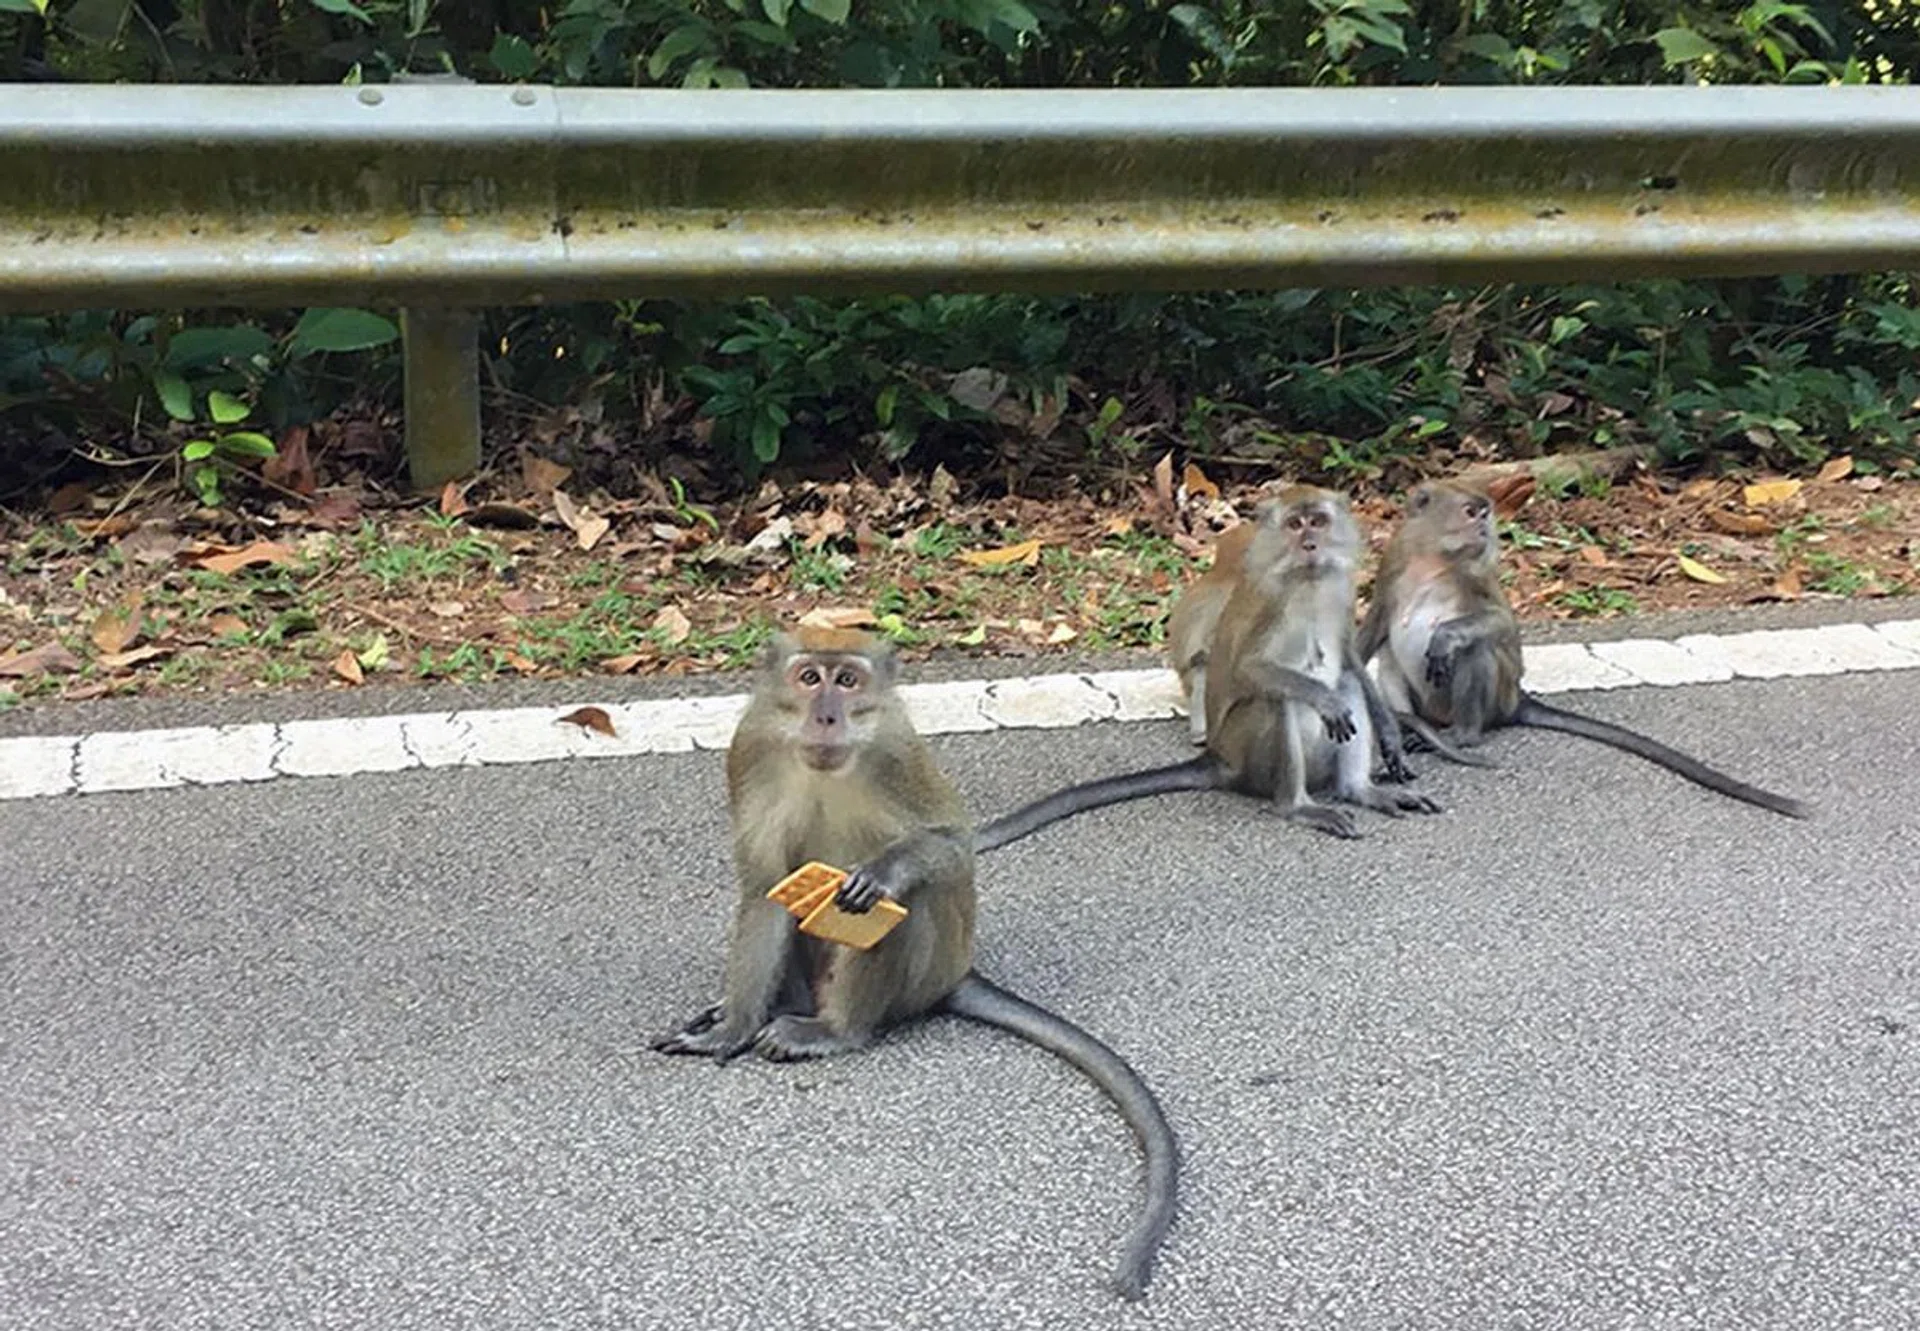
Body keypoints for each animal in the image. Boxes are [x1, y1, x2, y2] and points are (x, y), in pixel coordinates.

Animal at [653, 627, 1178, 1300]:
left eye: (848, 681)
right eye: (809, 678)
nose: (827, 716)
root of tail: (956, 974)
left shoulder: (899, 752)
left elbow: (951, 848)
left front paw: (884, 873)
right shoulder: (750, 750)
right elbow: (768, 890)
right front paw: (732, 1028)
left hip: (920, 974)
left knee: (909, 904)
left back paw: (834, 1031)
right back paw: (783, 1008)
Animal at [974, 488, 1440, 852]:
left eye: (1319, 522)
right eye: (1295, 524)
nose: (1311, 544)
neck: (1306, 581)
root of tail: (1218, 757)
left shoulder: (1341, 590)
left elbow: (1349, 659)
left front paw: (1390, 735)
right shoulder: (1270, 605)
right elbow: (1250, 669)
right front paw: (1321, 699)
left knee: (1345, 683)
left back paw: (1360, 792)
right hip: (1247, 754)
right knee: (1280, 699)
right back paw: (1297, 807)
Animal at [1356, 477, 1810, 819]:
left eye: (1485, 512)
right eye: (1472, 512)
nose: (1487, 527)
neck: (1432, 559)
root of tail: (1516, 700)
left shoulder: (1477, 572)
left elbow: (1501, 626)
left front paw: (1445, 638)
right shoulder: (1392, 566)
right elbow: (1372, 632)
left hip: (1494, 699)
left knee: (1478, 651)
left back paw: (1462, 734)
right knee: (1391, 660)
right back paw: (1411, 727)